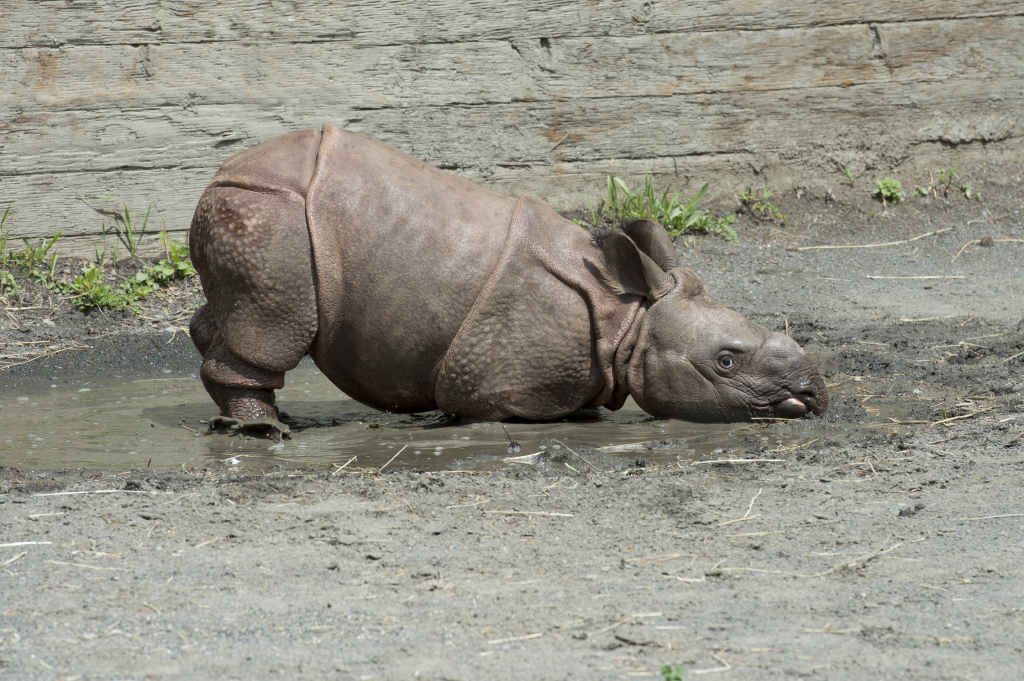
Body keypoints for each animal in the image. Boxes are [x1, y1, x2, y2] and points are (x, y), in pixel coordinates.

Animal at [190, 124, 823, 432]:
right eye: (727, 361)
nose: (814, 391)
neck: (629, 321)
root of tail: (218, 176)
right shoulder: (495, 380)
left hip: (254, 215)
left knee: (228, 310)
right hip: (269, 215)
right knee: (275, 324)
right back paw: (264, 433)